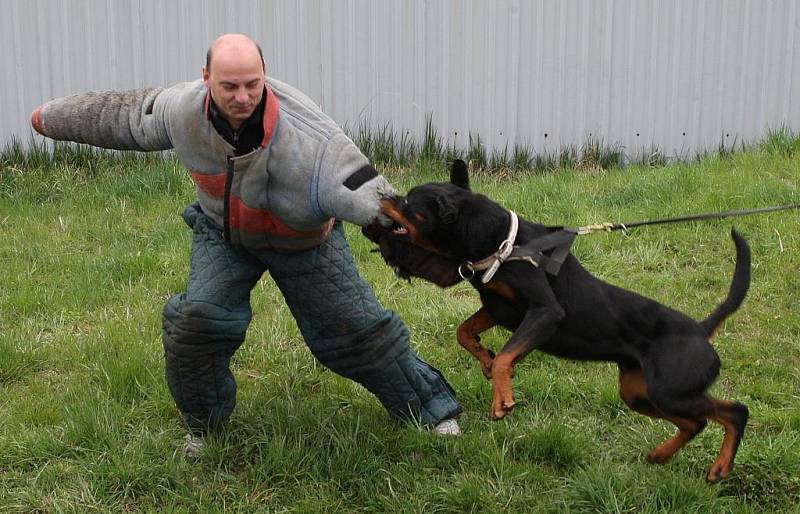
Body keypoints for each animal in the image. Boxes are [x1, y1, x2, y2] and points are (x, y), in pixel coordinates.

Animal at [366, 160, 752, 480]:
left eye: (408, 204)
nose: (383, 196)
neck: (503, 245)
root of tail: (701, 330)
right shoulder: (497, 307)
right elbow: (464, 333)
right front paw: (486, 361)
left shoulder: (545, 312)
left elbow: (507, 355)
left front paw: (502, 399)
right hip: (639, 392)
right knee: (697, 422)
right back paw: (662, 455)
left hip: (668, 389)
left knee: (734, 411)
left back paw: (719, 466)